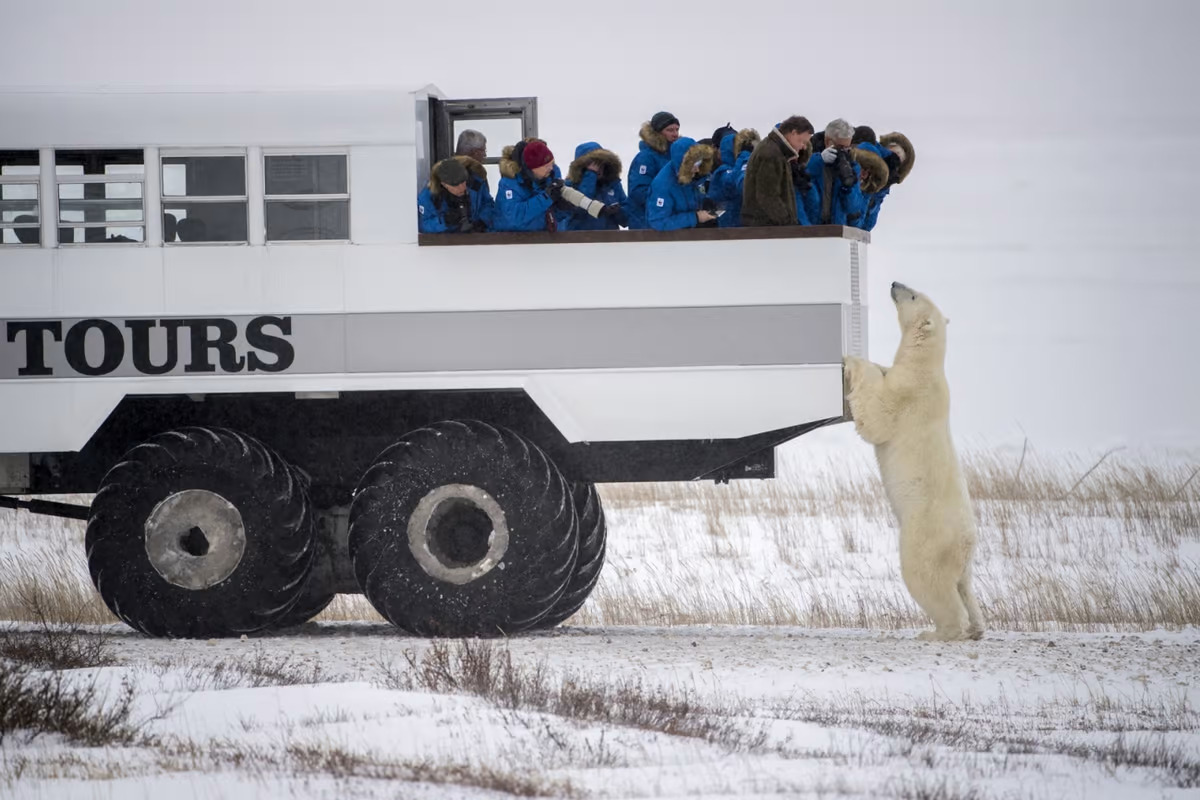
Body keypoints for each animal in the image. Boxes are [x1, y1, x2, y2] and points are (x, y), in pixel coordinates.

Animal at [844, 283, 984, 642]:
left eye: (913, 295)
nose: (895, 284)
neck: (925, 366)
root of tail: (966, 544)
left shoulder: (908, 394)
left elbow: (877, 417)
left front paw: (854, 361)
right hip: (961, 559)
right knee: (964, 585)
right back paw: (977, 626)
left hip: (926, 536)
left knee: (928, 580)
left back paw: (939, 631)